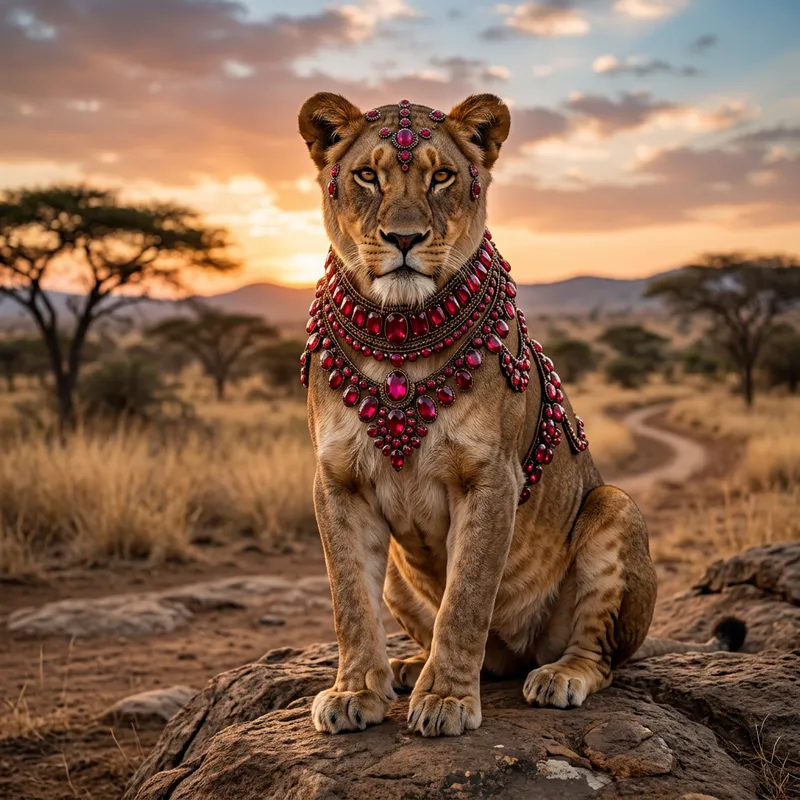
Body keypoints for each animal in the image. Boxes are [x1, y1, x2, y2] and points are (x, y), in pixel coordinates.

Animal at [297, 92, 745, 738]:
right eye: (366, 176)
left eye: (441, 176)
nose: (404, 238)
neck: (399, 338)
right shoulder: (337, 482)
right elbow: (348, 600)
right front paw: (355, 691)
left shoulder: (490, 478)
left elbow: (465, 598)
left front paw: (446, 699)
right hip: (401, 579)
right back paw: (408, 666)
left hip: (615, 507)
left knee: (599, 658)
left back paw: (557, 677)